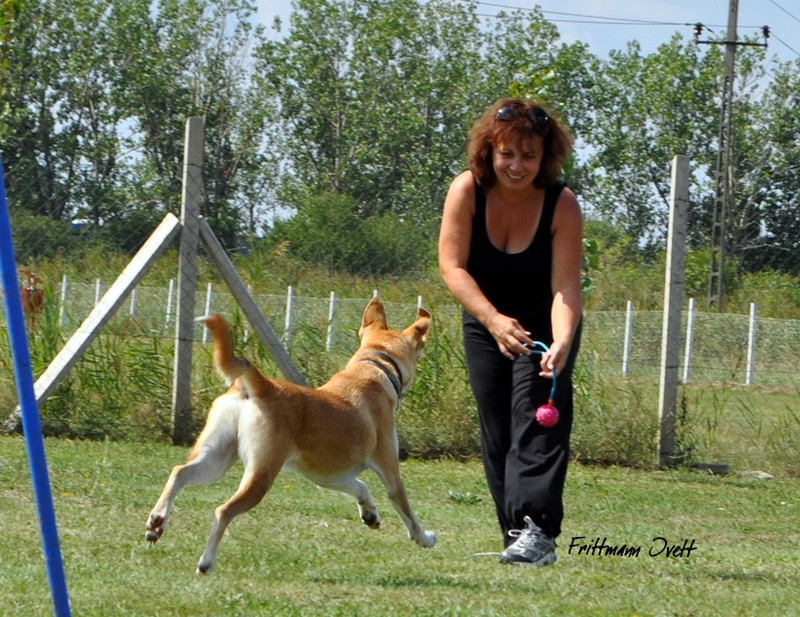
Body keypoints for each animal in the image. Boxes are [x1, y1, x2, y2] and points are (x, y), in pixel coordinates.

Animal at [144, 298, 438, 572]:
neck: (375, 369)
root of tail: (261, 385)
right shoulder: (390, 471)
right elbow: (406, 511)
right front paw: (424, 538)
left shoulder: (330, 476)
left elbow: (361, 487)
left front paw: (370, 514)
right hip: (261, 475)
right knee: (223, 511)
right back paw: (206, 562)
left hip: (216, 458)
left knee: (180, 472)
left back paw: (157, 520)